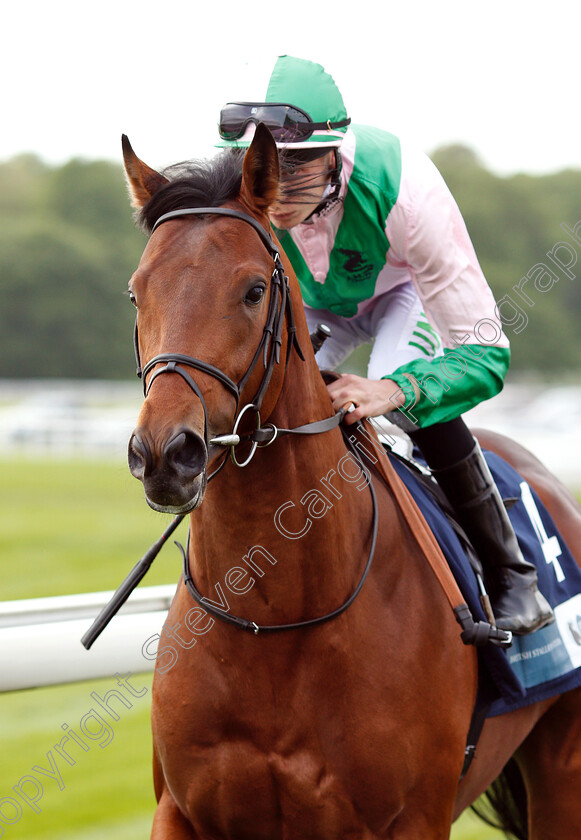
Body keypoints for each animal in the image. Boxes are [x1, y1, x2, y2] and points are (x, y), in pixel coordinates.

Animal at [123, 126, 581, 840]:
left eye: (252, 291)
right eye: (137, 292)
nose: (165, 453)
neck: (275, 620)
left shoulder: (414, 818)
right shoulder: (180, 811)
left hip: (563, 768)